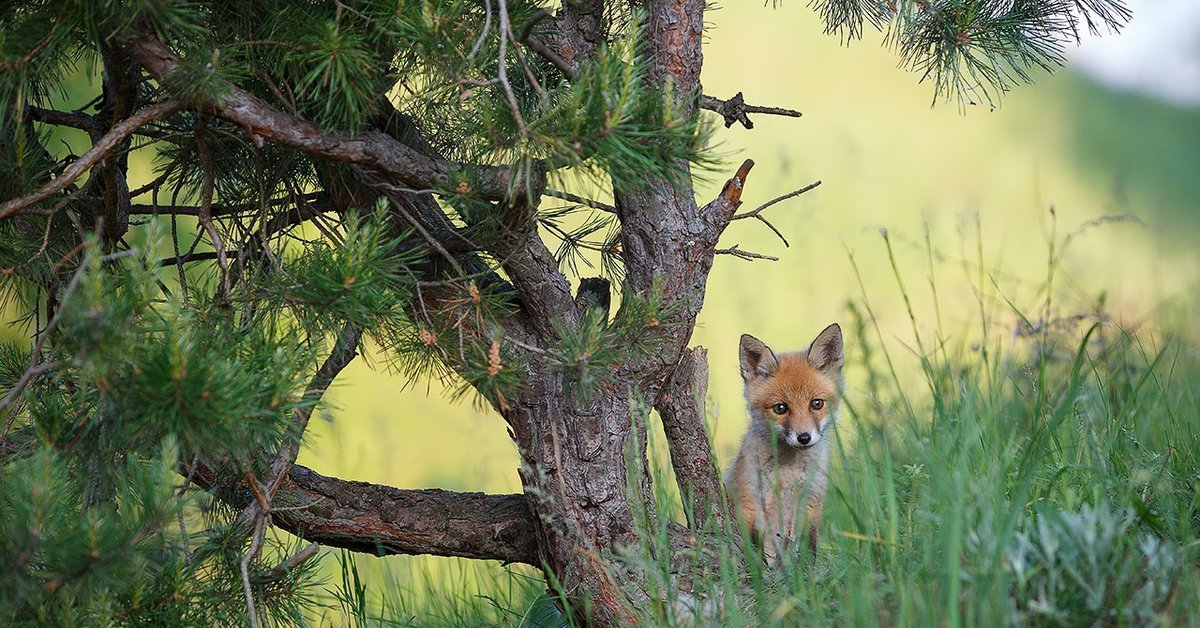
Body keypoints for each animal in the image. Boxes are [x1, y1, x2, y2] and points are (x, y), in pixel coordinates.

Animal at [720, 324, 844, 559]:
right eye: (780, 408)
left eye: (816, 404)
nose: (804, 437)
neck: (789, 475)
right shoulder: (750, 504)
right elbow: (757, 552)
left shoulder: (812, 504)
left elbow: (809, 551)